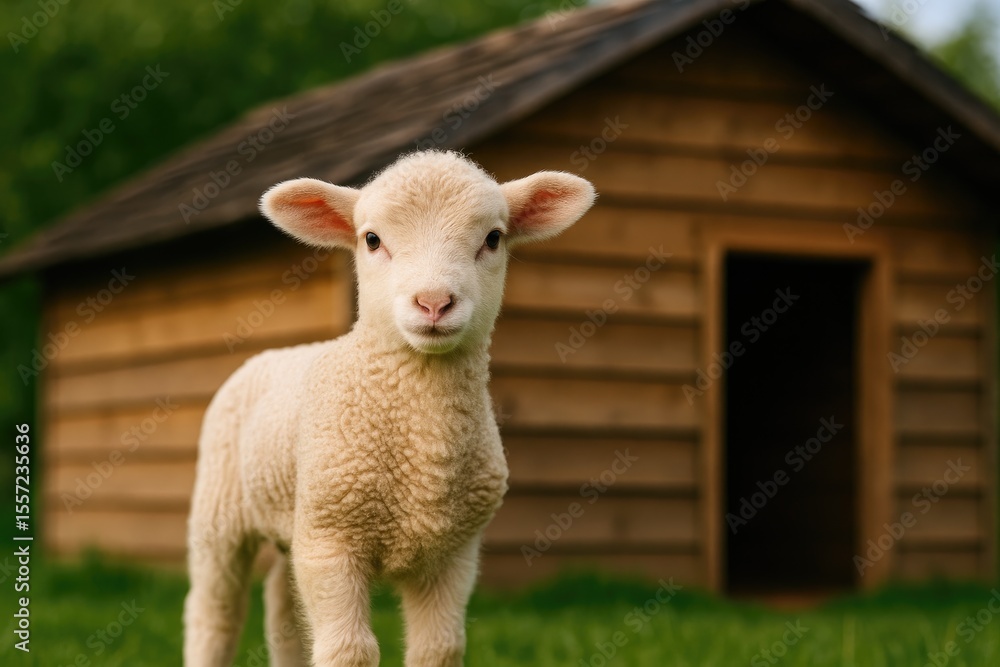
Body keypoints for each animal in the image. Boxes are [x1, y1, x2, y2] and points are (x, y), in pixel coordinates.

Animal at [183, 150, 596, 667]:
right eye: (372, 239)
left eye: (493, 238)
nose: (434, 302)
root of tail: (275, 352)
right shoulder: (330, 540)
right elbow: (349, 651)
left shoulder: (453, 553)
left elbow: (439, 648)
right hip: (221, 516)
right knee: (214, 615)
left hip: (291, 521)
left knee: (282, 612)